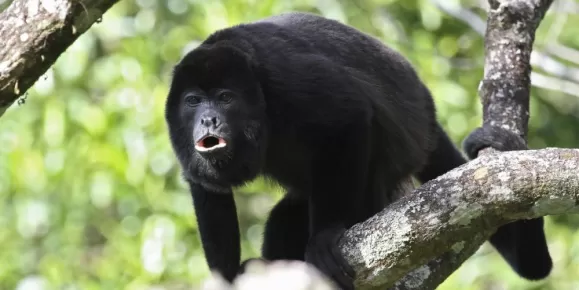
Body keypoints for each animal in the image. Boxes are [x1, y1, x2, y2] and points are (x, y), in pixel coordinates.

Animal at [164, 11, 552, 290]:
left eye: (226, 98)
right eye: (193, 101)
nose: (209, 120)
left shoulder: (286, 82)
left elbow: (348, 116)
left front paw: (325, 236)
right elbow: (206, 186)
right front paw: (226, 279)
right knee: (284, 219)